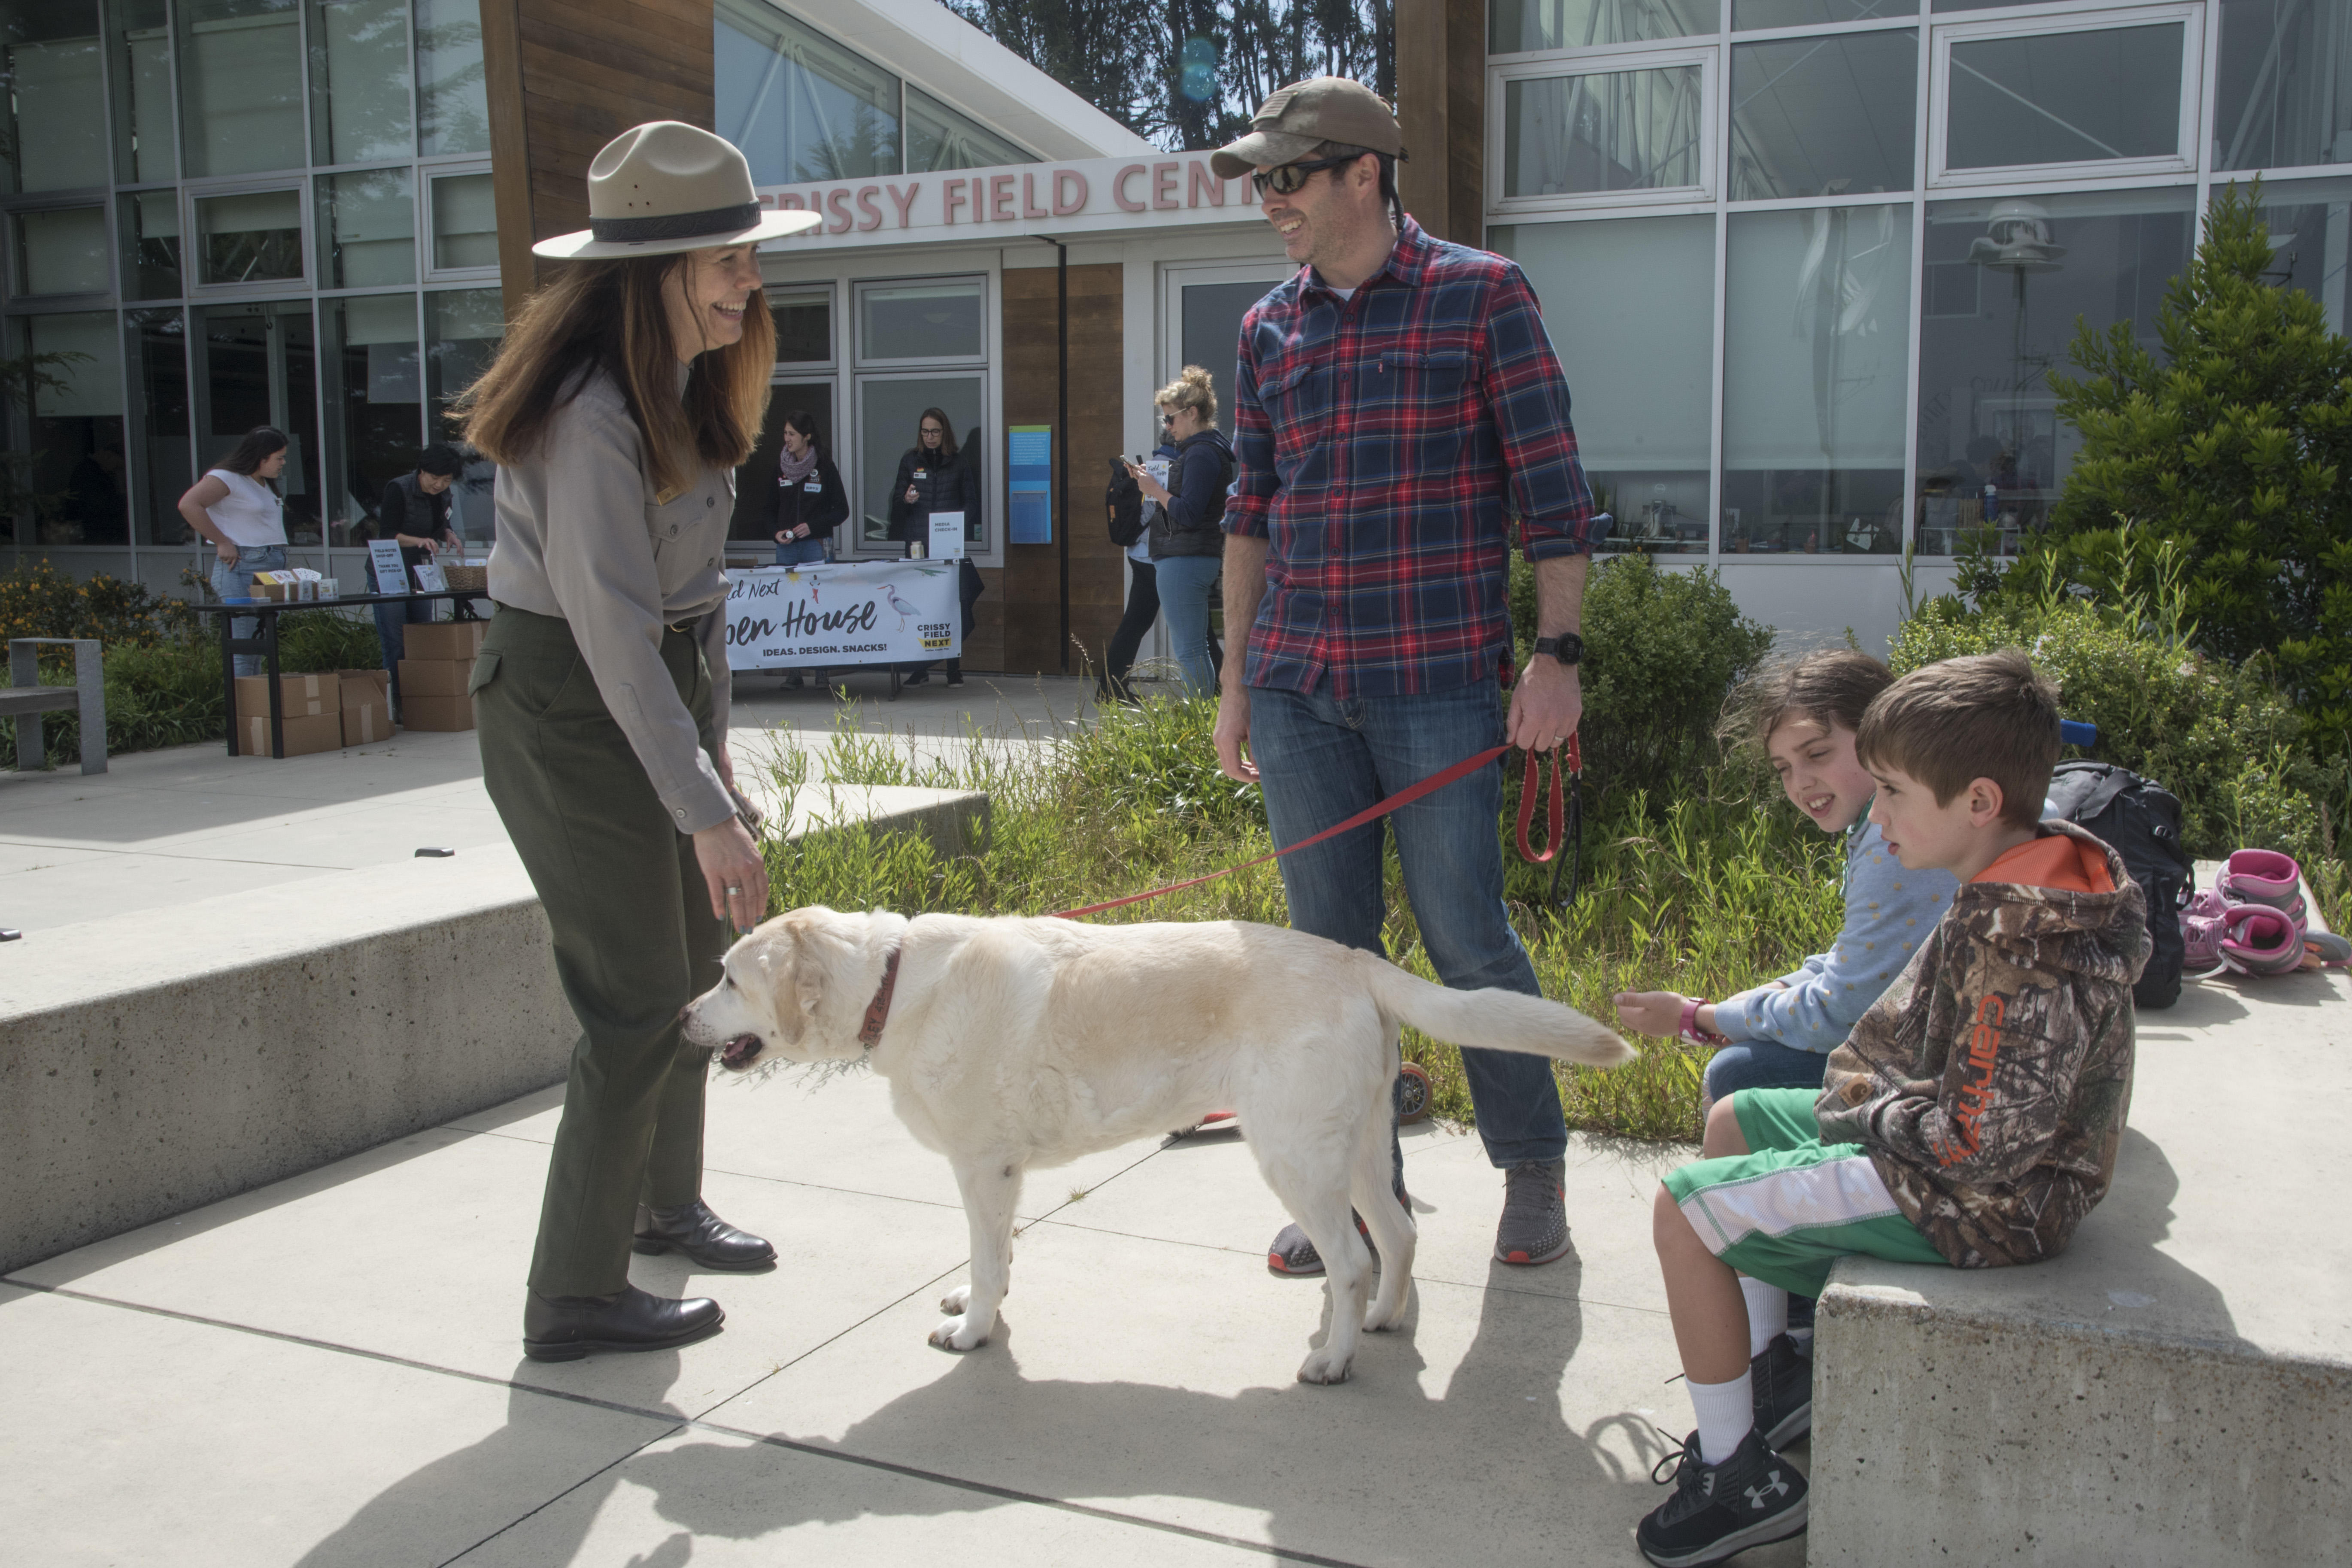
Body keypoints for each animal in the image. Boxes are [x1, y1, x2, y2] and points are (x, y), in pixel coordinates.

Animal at [682, 907, 1637, 1382]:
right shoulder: (998, 1174)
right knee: (1398, 1235)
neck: (890, 981)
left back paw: (1332, 1356)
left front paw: (974, 1332)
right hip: (1359, 1143)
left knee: (1352, 1258)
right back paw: (1380, 1320)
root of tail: (1354, 958)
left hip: (1293, 1156)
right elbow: (995, 1254)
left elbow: (988, 1261)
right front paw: (979, 1300)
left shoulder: (982, 1165)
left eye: (726, 976)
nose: (682, 1015)